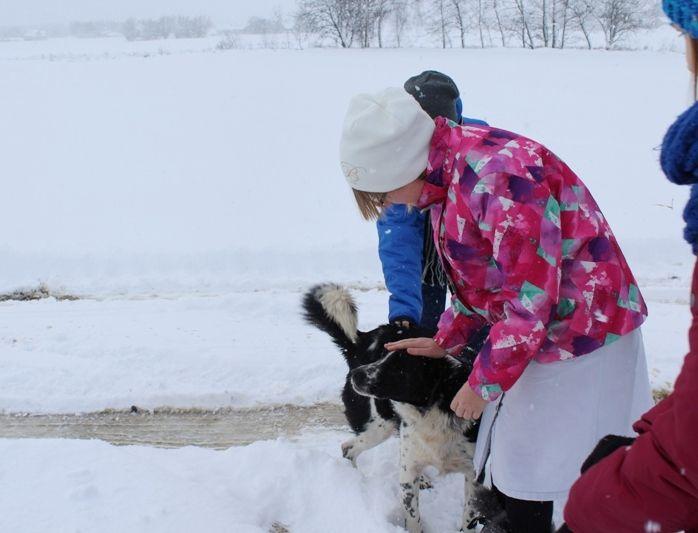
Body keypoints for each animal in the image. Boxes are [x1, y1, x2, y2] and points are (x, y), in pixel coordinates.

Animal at [300, 282, 500, 532]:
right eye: (383, 355)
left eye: (399, 368)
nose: (356, 375)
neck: (433, 410)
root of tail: (359, 345)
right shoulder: (408, 474)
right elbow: (412, 517)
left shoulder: (475, 476)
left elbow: (468, 517)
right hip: (379, 425)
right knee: (349, 448)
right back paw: (355, 482)